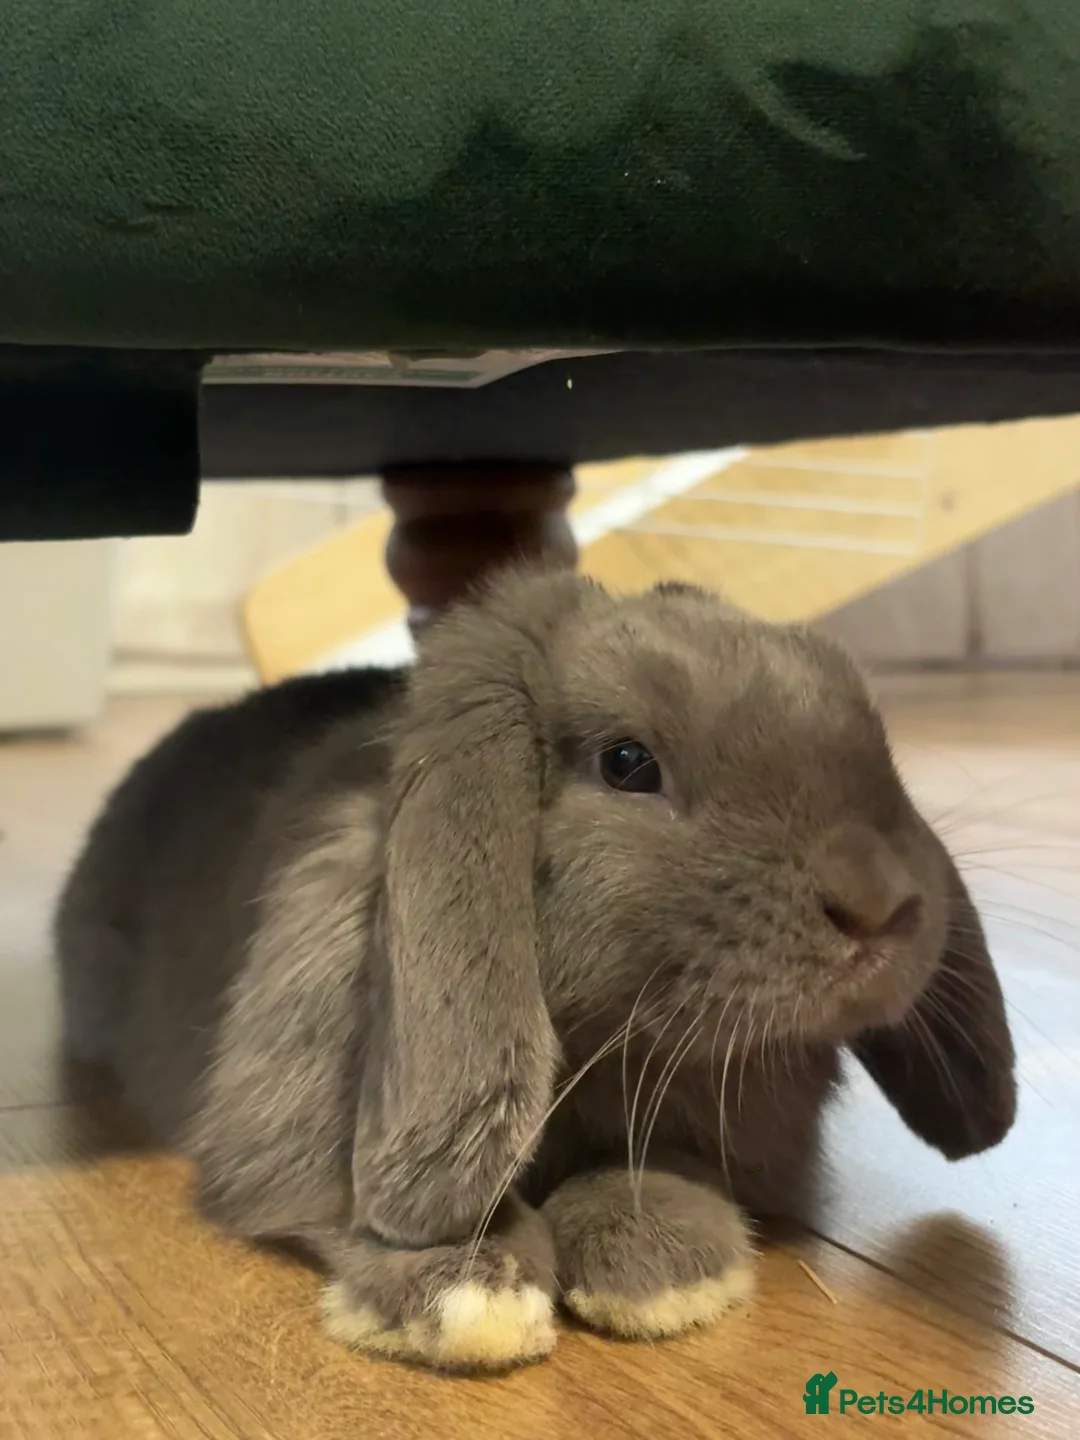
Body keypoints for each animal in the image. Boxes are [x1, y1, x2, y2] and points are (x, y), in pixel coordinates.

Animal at [55, 566, 1016, 1372]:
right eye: (627, 763)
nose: (881, 903)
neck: (611, 1044)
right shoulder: (283, 1133)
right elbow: (336, 1204)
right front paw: (468, 1295)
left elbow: (661, 1167)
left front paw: (665, 1272)